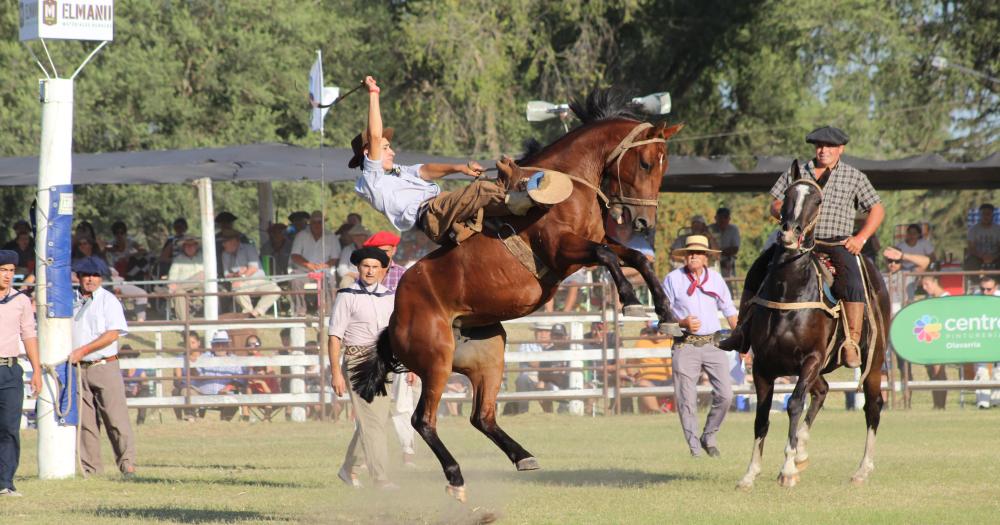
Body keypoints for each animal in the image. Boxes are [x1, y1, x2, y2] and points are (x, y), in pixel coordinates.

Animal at [348, 89, 684, 500]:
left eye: (663, 168)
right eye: (647, 162)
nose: (643, 222)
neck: (570, 187)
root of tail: (394, 320)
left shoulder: (590, 243)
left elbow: (635, 257)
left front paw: (667, 316)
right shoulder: (562, 249)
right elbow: (608, 255)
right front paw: (631, 300)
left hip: (489, 355)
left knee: (482, 416)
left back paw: (523, 456)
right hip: (436, 362)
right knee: (422, 419)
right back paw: (456, 478)